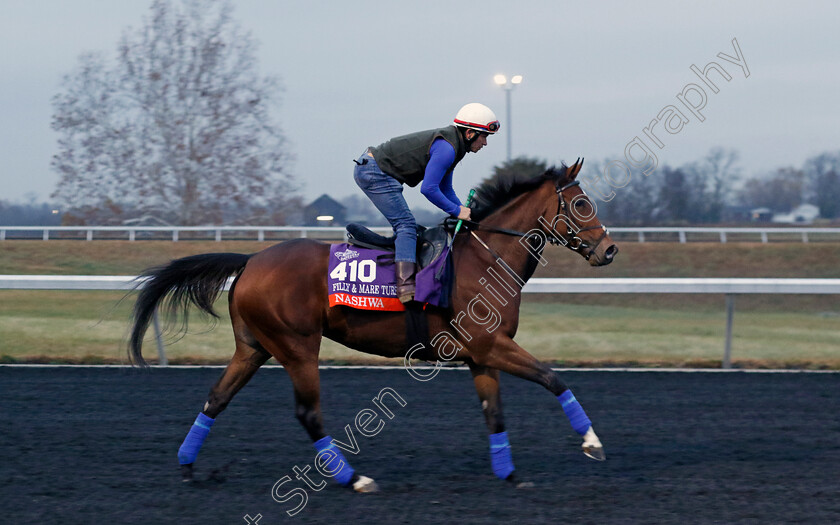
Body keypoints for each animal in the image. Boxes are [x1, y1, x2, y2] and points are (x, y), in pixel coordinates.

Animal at [130, 158, 616, 490]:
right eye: (580, 203)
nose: (608, 250)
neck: (486, 259)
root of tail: (250, 261)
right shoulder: (490, 345)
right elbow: (553, 378)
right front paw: (592, 442)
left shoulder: (480, 355)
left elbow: (494, 413)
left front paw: (510, 474)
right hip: (297, 346)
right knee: (308, 412)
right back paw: (353, 478)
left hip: (254, 346)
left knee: (217, 397)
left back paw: (188, 464)